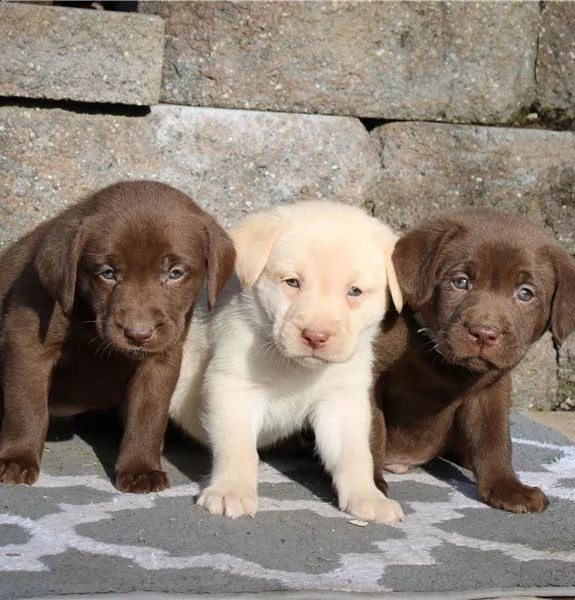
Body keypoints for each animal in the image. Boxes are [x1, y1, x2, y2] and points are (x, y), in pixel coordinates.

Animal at [0, 180, 236, 494]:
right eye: (108, 273)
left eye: (175, 273)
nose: (138, 334)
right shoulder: (27, 342)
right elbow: (27, 407)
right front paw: (16, 459)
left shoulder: (160, 360)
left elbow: (148, 415)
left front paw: (141, 468)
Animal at [170, 199, 404, 524]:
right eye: (292, 282)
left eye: (354, 291)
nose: (316, 336)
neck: (298, 369)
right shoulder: (233, 387)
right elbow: (238, 448)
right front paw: (231, 491)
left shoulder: (342, 401)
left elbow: (355, 454)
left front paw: (367, 496)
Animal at [368, 209, 575, 512]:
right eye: (461, 282)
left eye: (525, 293)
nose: (484, 333)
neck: (442, 360)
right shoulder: (368, 376)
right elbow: (369, 431)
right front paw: (368, 485)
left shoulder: (492, 391)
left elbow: (495, 440)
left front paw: (507, 488)